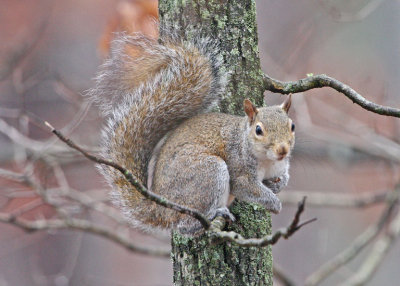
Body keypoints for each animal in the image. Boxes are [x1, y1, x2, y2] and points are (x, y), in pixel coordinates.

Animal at [89, 33, 296, 235]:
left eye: (292, 125)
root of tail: (161, 209)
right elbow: (246, 187)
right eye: (259, 130)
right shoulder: (240, 167)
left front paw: (279, 184)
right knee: (186, 225)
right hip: (208, 173)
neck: (267, 159)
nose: (283, 150)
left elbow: (283, 177)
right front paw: (275, 203)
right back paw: (215, 214)